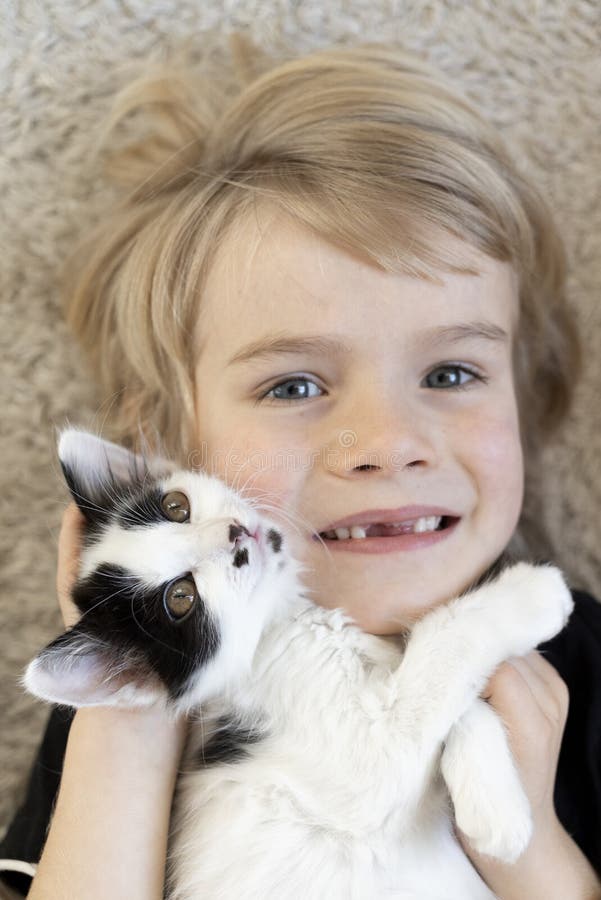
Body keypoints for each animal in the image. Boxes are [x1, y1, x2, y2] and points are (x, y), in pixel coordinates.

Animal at [25, 428, 576, 900]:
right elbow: (443, 640)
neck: (281, 622)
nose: (234, 535)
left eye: (176, 506)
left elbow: (462, 702)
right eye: (181, 599)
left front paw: (497, 810)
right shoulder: (369, 756)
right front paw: (535, 594)